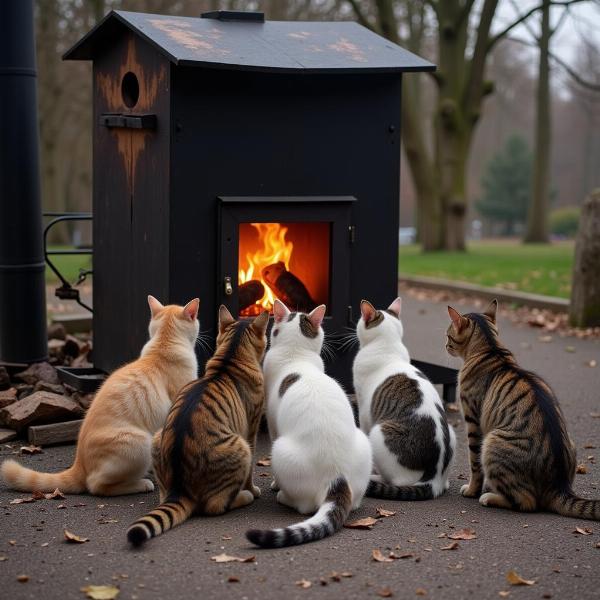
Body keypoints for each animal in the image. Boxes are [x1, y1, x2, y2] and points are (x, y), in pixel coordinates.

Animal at [126, 304, 268, 544]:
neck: (229, 358)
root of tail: (180, 489)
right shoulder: (252, 429)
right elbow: (250, 474)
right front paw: (253, 489)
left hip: (157, 437)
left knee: (164, 496)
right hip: (241, 447)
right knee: (216, 505)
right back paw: (245, 496)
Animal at [246, 300, 372, 548]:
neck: (295, 354)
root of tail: (336, 477)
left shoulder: (273, 426)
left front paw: (275, 484)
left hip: (280, 450)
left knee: (304, 506)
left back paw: (283, 496)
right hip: (363, 442)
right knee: (354, 501)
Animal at [352, 298, 454, 500]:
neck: (387, 345)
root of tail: (434, 479)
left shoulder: (365, 411)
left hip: (379, 432)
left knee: (396, 481)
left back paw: (375, 477)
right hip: (452, 433)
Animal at [448, 300, 596, 520]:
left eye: (448, 336)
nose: (446, 345)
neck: (491, 349)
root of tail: (559, 485)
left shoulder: (472, 420)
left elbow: (474, 464)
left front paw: (472, 490)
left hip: (491, 442)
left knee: (526, 502)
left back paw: (490, 497)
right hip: (571, 441)